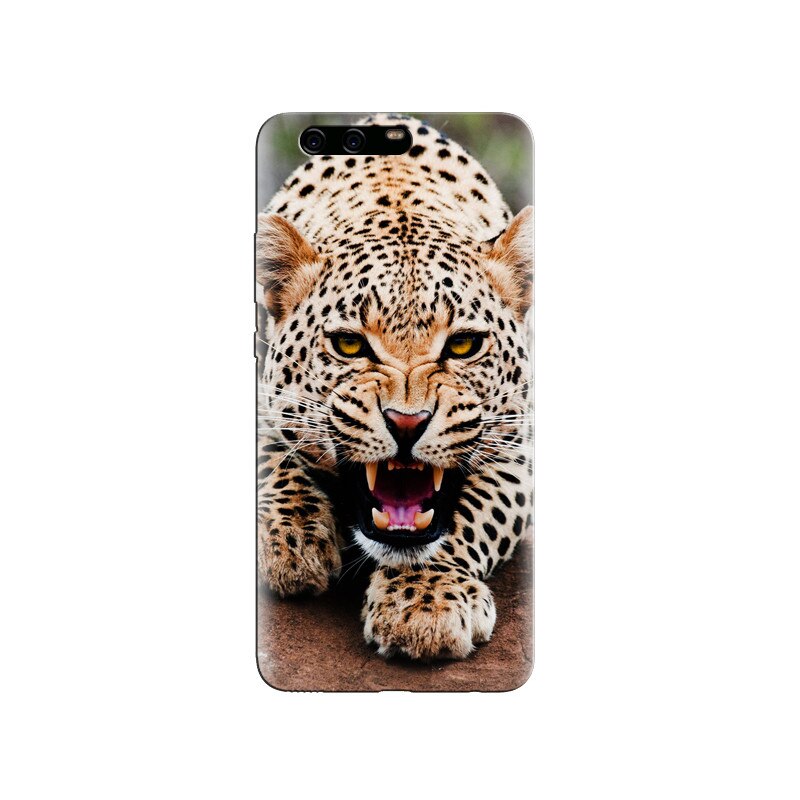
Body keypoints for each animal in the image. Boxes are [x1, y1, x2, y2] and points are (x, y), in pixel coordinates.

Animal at [257, 114, 533, 660]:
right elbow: (270, 458)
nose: (407, 423)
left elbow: (473, 514)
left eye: (464, 345)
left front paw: (425, 602)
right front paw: (290, 540)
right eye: (348, 345)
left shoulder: (522, 446)